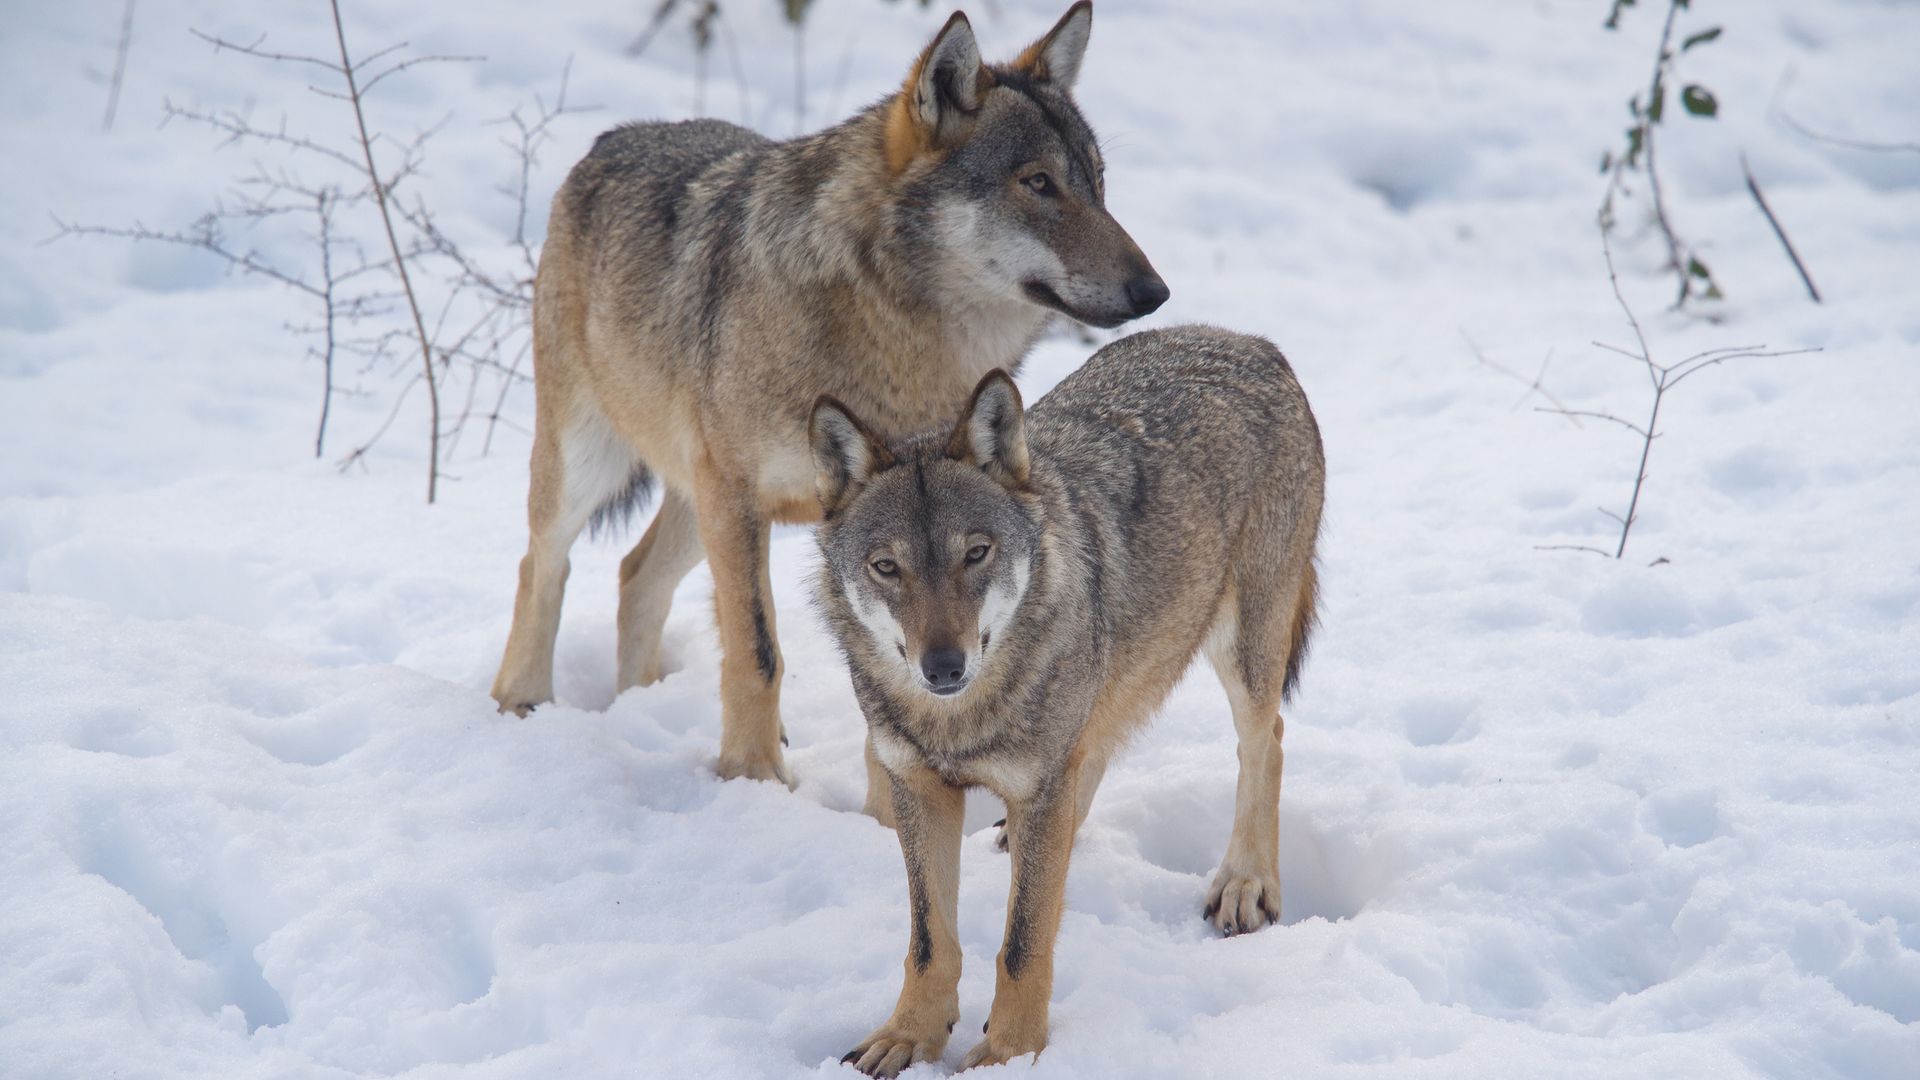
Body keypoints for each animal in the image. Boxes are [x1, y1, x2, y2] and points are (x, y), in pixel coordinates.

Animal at [489, 1, 1167, 798]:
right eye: (1036, 183)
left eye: (1097, 183)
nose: (1155, 291)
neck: (893, 336)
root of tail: (611, 138)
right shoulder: (739, 498)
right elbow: (758, 653)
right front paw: (754, 780)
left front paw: (879, 809)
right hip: (594, 468)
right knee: (542, 565)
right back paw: (522, 704)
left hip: (692, 507)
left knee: (633, 574)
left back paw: (640, 706)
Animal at [810, 325, 1324, 1074]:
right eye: (886, 568)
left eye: (976, 553)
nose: (943, 666)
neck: (959, 722)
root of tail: (1248, 341)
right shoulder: (918, 786)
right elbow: (931, 942)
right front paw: (908, 1036)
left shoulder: (1038, 780)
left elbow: (1023, 944)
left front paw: (1008, 1054)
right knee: (1094, 762)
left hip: (1244, 651)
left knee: (1267, 742)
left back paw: (1246, 884)